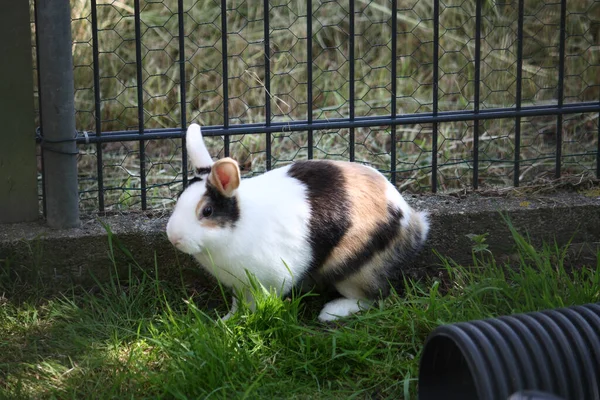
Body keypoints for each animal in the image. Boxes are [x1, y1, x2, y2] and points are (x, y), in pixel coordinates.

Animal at [166, 123, 428, 324]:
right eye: (179, 197)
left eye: (207, 211)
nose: (173, 238)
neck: (238, 224)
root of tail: (411, 220)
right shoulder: (238, 286)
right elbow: (237, 304)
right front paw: (226, 320)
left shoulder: (268, 280)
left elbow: (257, 303)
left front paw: (248, 320)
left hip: (354, 269)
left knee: (372, 297)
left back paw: (331, 313)